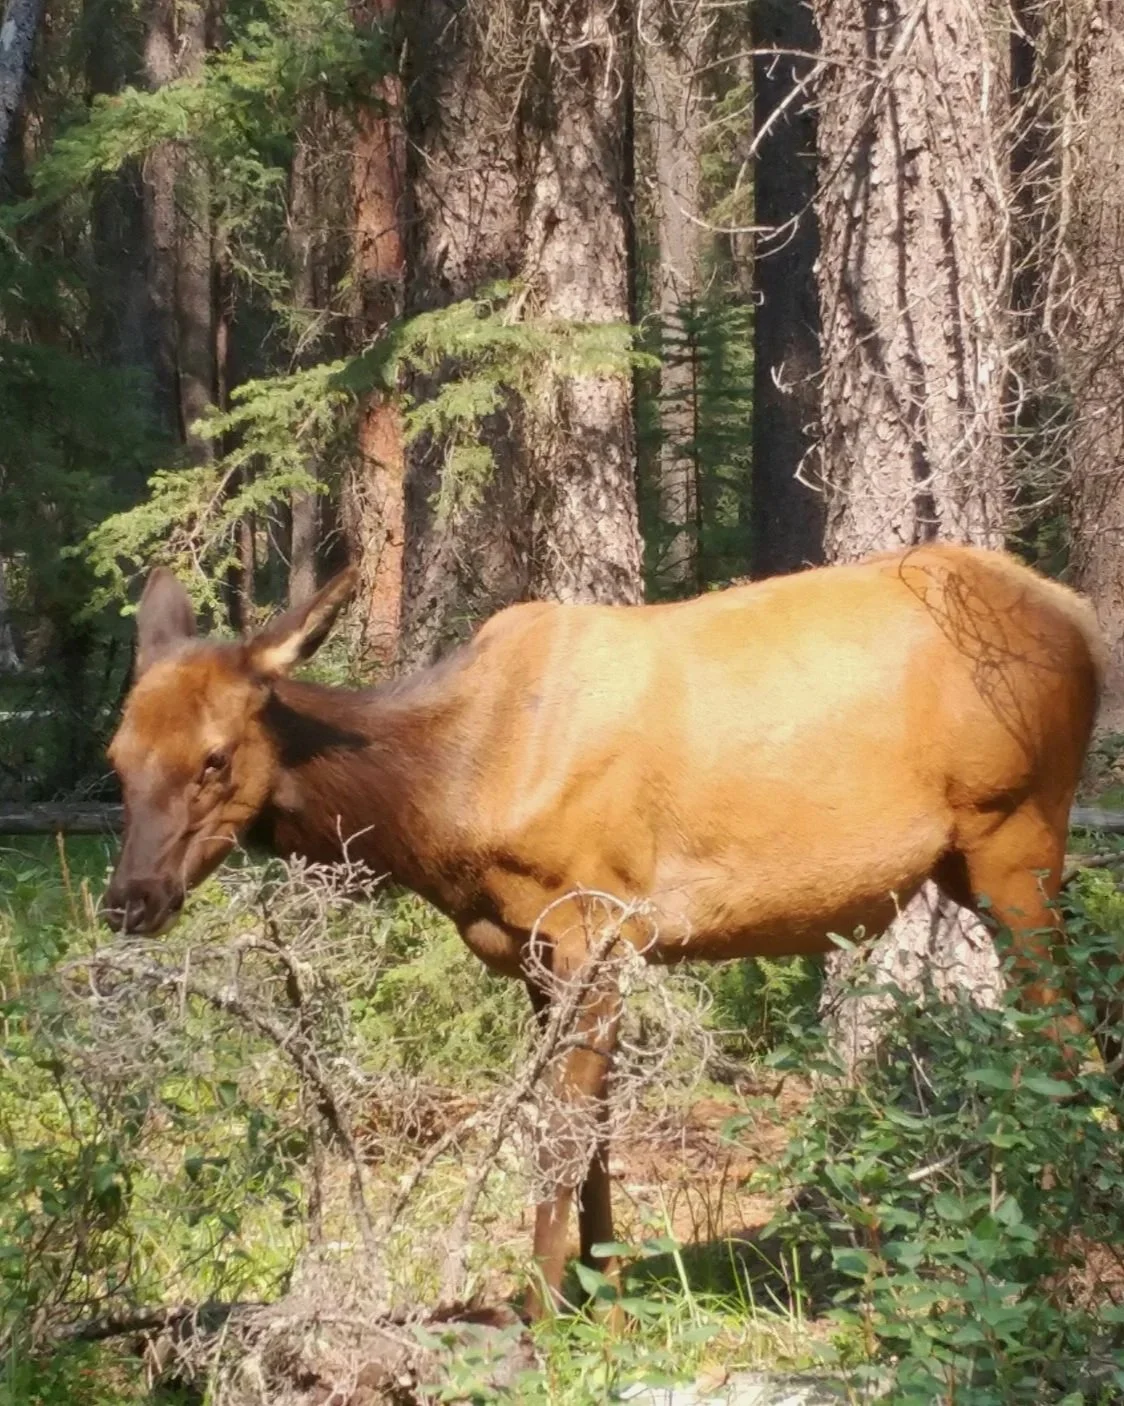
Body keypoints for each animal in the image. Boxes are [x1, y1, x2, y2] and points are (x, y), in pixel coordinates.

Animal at [102, 543, 1104, 1318]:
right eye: (117, 758)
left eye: (215, 758)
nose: (128, 900)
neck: (453, 796)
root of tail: (1085, 620)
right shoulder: (539, 952)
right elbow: (596, 1133)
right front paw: (603, 1292)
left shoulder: (592, 920)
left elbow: (559, 1129)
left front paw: (541, 1314)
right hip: (976, 862)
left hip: (1018, 832)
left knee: (1063, 1033)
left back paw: (1056, 1253)